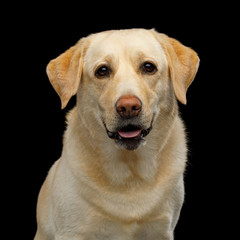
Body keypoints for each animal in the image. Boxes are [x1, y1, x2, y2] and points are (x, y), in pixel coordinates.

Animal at [33, 28, 199, 240]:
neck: (130, 171)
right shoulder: (73, 232)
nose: (128, 107)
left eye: (148, 67)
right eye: (102, 71)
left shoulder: (162, 230)